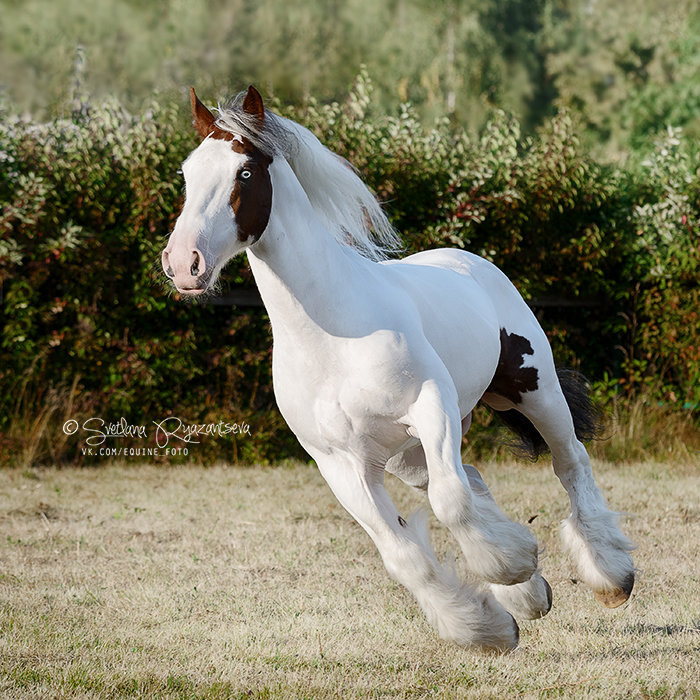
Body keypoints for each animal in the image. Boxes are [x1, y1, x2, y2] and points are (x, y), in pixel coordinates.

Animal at [163, 86, 636, 652]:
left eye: (246, 173)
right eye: (188, 173)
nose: (183, 263)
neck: (333, 336)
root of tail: (472, 263)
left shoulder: (430, 406)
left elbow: (452, 504)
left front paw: (514, 565)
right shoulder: (341, 465)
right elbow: (405, 554)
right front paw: (488, 626)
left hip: (531, 392)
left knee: (569, 463)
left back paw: (610, 577)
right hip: (405, 458)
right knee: (472, 479)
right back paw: (529, 595)